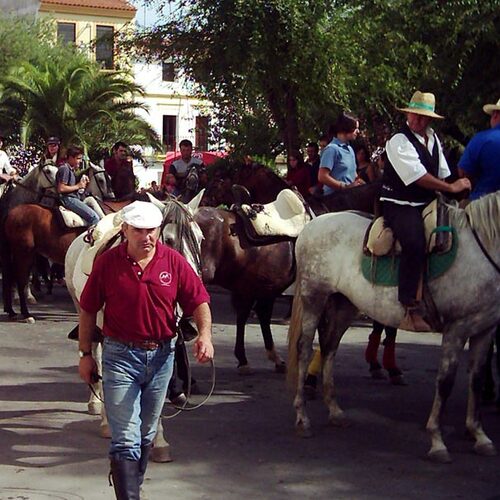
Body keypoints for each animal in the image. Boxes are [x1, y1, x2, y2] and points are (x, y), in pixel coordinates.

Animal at [288, 190, 500, 460]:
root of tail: (313, 224)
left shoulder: (485, 328)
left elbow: (476, 379)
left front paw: (479, 435)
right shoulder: (456, 329)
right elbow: (445, 382)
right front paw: (437, 441)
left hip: (344, 304)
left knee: (329, 347)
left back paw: (335, 411)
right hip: (314, 297)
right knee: (305, 350)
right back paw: (302, 419)